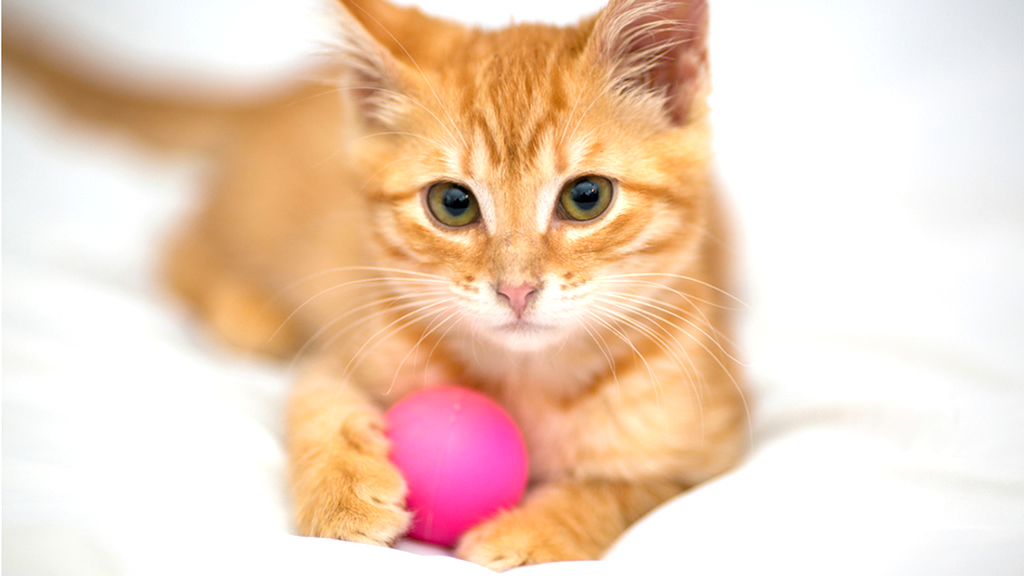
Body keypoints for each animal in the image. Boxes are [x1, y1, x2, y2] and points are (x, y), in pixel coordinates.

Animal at [12, 0, 749, 565]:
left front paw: (536, 529)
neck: (526, 381)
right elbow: (315, 400)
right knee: (179, 246)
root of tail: (275, 92)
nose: (515, 290)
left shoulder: (714, 444)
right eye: (452, 204)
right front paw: (342, 492)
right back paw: (247, 308)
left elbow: (628, 490)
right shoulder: (351, 339)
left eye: (586, 197)